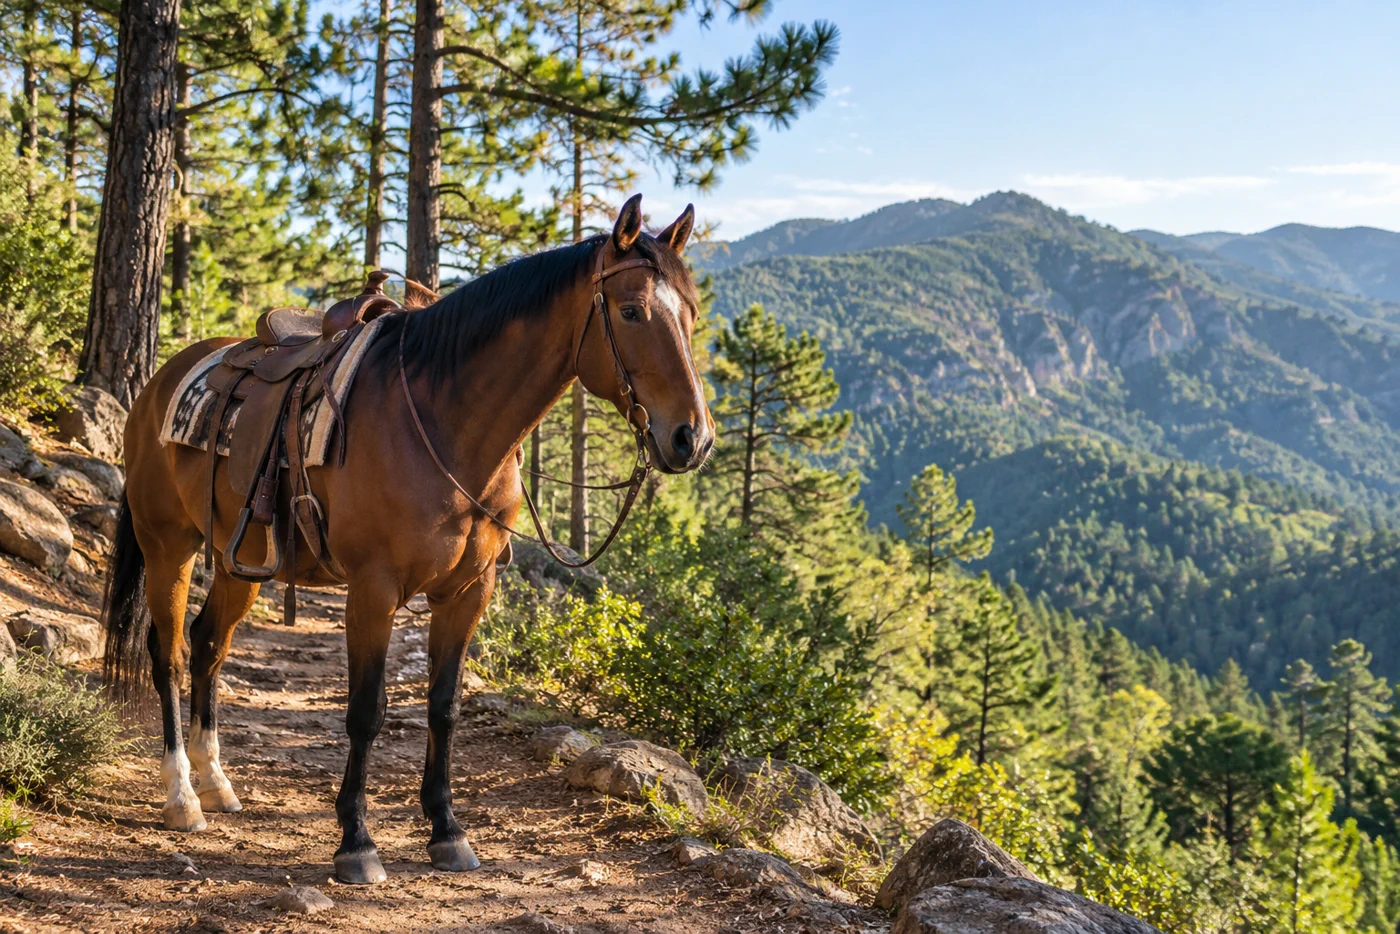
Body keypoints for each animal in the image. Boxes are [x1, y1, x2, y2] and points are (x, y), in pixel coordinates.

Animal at [101, 195, 713, 884]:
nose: (692, 437)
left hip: (241, 561)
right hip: (168, 547)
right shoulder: (373, 590)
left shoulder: (469, 591)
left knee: (209, 646)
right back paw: (181, 795)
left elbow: (443, 706)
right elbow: (366, 711)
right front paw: (356, 843)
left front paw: (447, 831)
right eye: (631, 310)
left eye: (690, 314)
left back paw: (215, 783)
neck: (447, 425)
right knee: (171, 654)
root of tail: (160, 382)